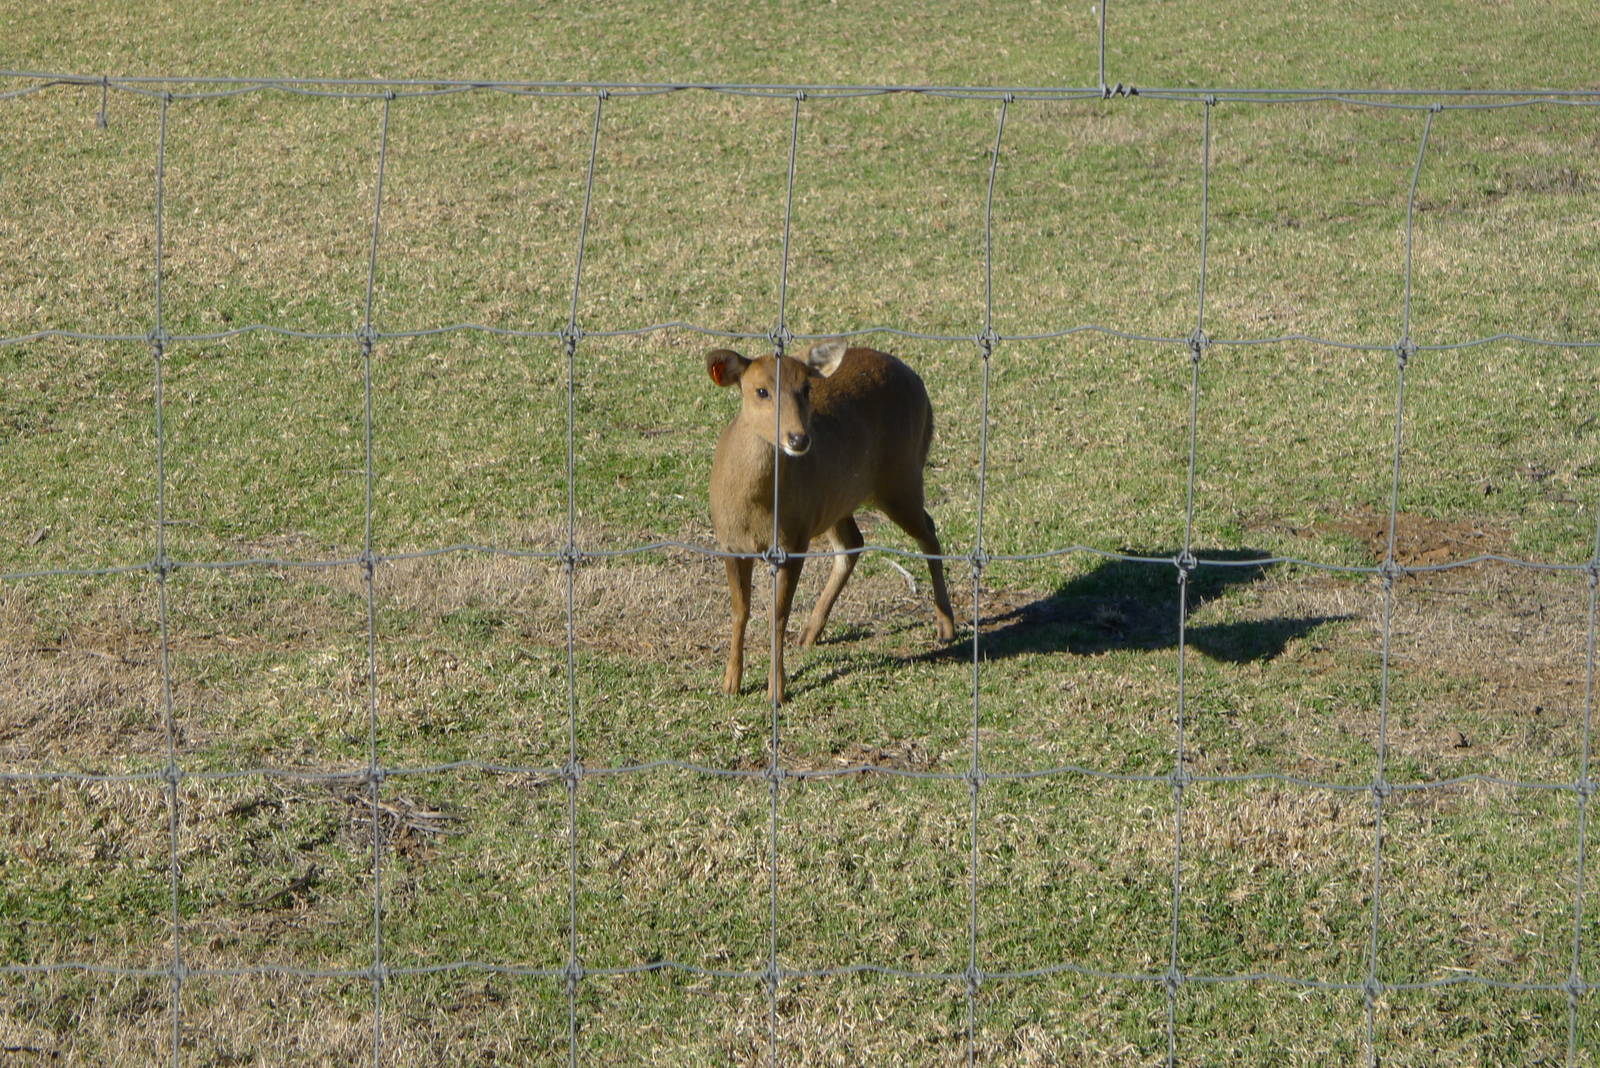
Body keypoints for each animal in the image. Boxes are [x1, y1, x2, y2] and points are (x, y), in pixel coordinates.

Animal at [706, 339, 958, 704]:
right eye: (761, 390)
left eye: (806, 388)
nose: (798, 439)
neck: (756, 507)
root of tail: (915, 378)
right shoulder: (730, 542)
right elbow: (741, 611)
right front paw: (730, 684)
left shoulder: (793, 539)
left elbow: (778, 615)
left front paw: (776, 691)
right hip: (838, 502)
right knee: (854, 541)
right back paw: (810, 633)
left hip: (901, 475)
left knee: (928, 530)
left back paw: (946, 625)